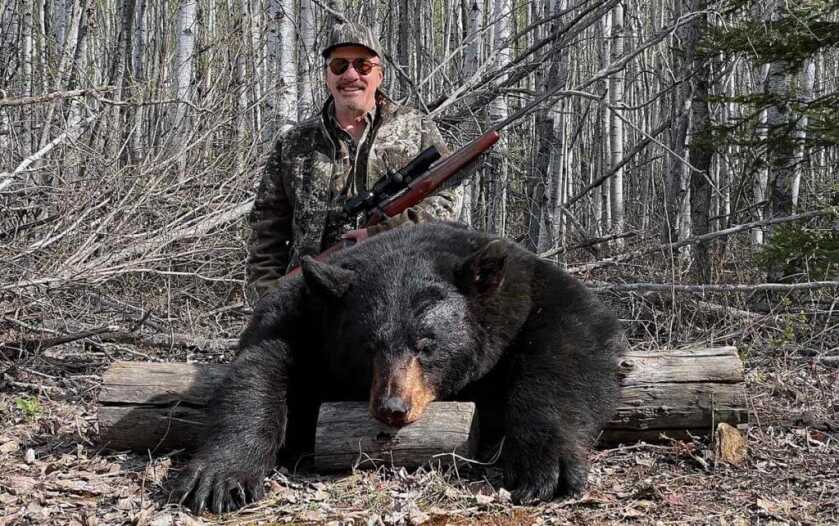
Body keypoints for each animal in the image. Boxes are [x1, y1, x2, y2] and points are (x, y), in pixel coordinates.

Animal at [171, 221, 625, 514]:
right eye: (368, 346)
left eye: (426, 344)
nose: (393, 407)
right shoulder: (302, 313)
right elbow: (258, 370)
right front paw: (222, 477)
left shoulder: (532, 293)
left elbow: (569, 350)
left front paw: (545, 468)